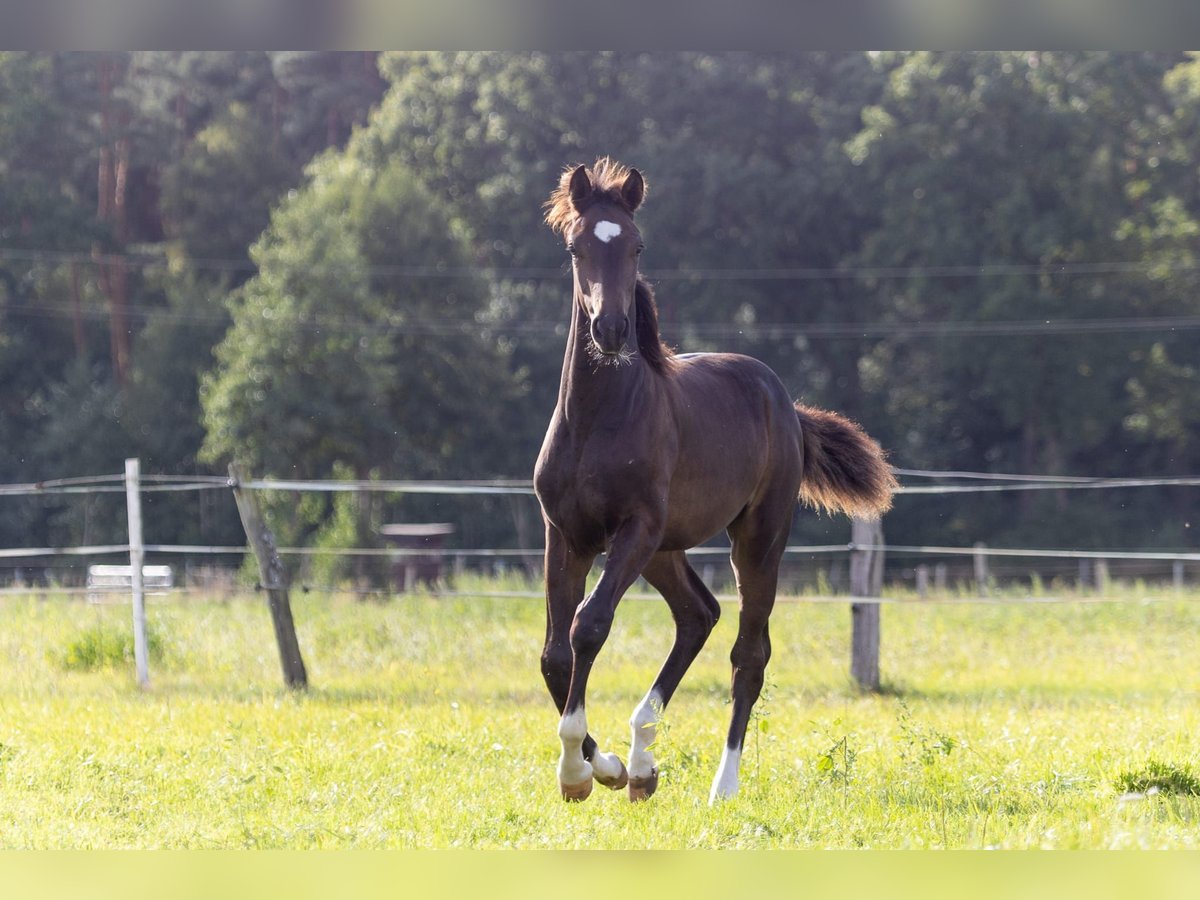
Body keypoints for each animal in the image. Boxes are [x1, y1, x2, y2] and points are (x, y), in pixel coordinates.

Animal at [532, 157, 892, 801]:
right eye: (577, 247)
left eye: (637, 245)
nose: (612, 330)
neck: (598, 420)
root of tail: (785, 402)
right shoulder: (565, 534)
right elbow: (554, 654)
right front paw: (608, 768)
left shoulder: (634, 530)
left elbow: (589, 626)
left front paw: (579, 771)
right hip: (663, 550)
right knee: (698, 615)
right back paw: (643, 762)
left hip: (753, 539)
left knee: (748, 653)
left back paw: (721, 785)